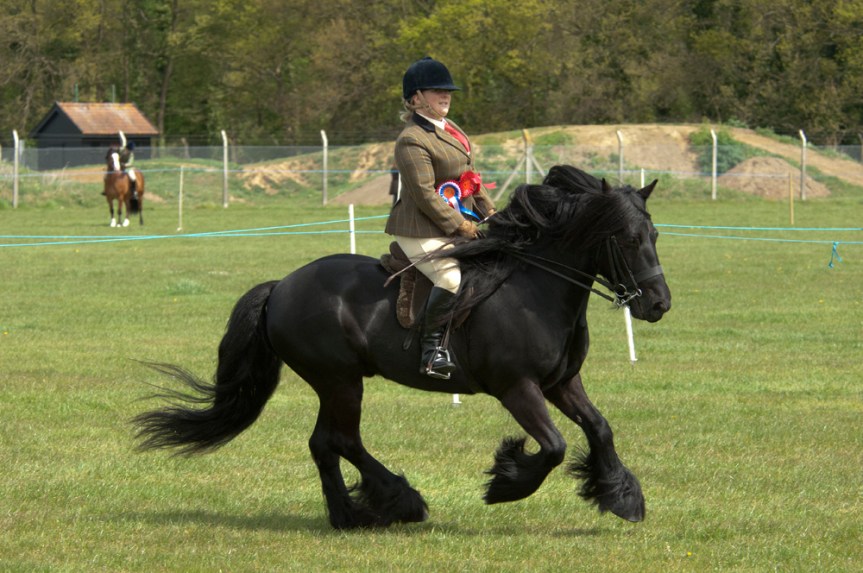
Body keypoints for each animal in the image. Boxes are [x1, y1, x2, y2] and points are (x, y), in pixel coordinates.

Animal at [133, 165, 672, 530]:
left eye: (653, 234)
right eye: (626, 239)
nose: (659, 304)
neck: (535, 288)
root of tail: (282, 285)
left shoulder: (561, 382)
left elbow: (600, 428)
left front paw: (622, 497)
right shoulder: (517, 388)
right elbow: (555, 445)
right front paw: (505, 484)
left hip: (336, 383)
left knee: (323, 443)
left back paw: (349, 515)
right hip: (340, 380)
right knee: (342, 441)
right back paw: (400, 501)